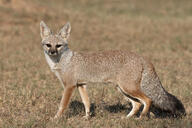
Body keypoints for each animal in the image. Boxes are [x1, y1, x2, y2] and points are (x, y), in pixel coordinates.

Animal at [39, 20, 185, 119]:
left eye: (58, 46)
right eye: (48, 45)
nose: (52, 52)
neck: (64, 61)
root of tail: (142, 57)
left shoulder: (69, 86)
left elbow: (62, 105)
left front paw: (56, 118)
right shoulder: (81, 85)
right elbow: (87, 103)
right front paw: (87, 117)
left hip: (128, 88)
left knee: (148, 100)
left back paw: (141, 117)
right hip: (123, 89)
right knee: (137, 104)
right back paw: (127, 118)